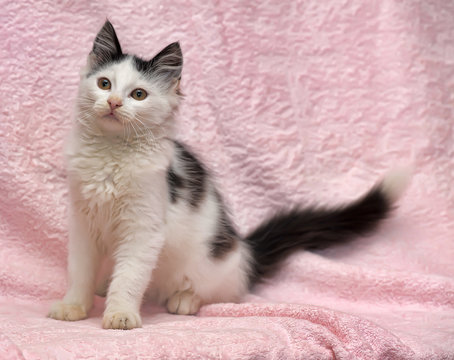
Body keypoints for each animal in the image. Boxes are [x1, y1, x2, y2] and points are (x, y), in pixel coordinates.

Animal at [48, 19, 408, 330]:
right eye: (104, 84)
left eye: (138, 94)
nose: (113, 102)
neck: (111, 154)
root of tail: (245, 251)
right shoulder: (82, 221)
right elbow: (79, 270)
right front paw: (74, 306)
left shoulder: (143, 228)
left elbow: (131, 277)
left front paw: (121, 314)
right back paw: (102, 286)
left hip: (207, 263)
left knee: (219, 292)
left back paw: (184, 299)